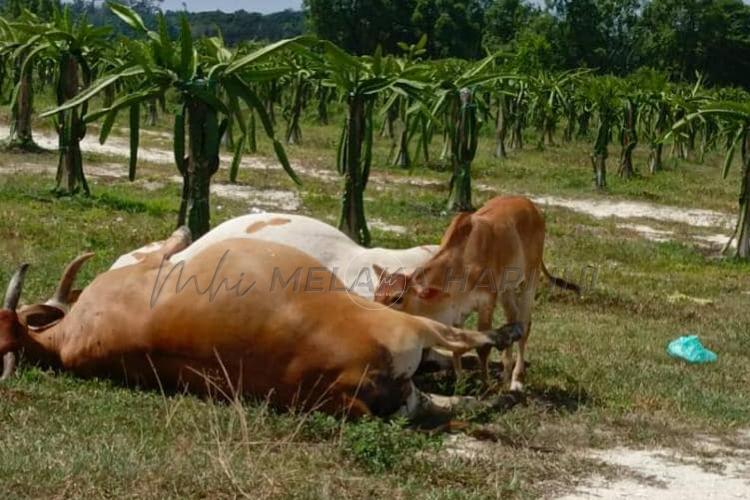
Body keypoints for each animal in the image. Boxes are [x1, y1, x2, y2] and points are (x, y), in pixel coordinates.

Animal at [0, 232, 524, 420]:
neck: (64, 340)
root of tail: (348, 387)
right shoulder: (145, 264)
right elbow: (168, 244)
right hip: (402, 324)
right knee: (460, 340)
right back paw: (506, 345)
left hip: (407, 390)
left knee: (449, 402)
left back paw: (499, 396)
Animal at [374, 195, 580, 390]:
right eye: (376, 294)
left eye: (398, 298)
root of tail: (531, 206)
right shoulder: (458, 312)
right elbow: (458, 345)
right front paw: (460, 383)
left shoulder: (486, 302)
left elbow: (483, 347)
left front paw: (485, 385)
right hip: (506, 288)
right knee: (513, 319)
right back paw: (505, 374)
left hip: (532, 275)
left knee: (525, 324)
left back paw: (516, 380)